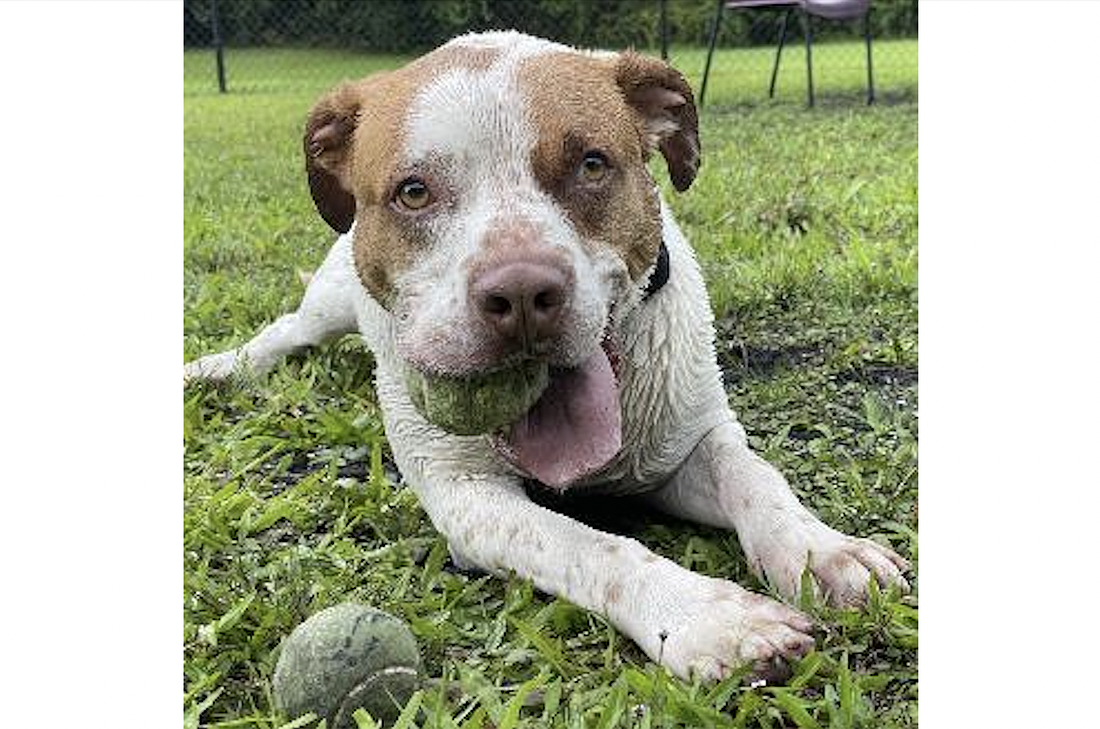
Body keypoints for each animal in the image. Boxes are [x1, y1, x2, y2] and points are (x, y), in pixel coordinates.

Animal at [187, 32, 910, 686]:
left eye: (591, 164)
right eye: (413, 191)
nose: (522, 293)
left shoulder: (689, 443)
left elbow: (756, 478)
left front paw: (821, 552)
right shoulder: (467, 499)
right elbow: (593, 548)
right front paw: (707, 616)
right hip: (328, 301)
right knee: (286, 332)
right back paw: (217, 369)